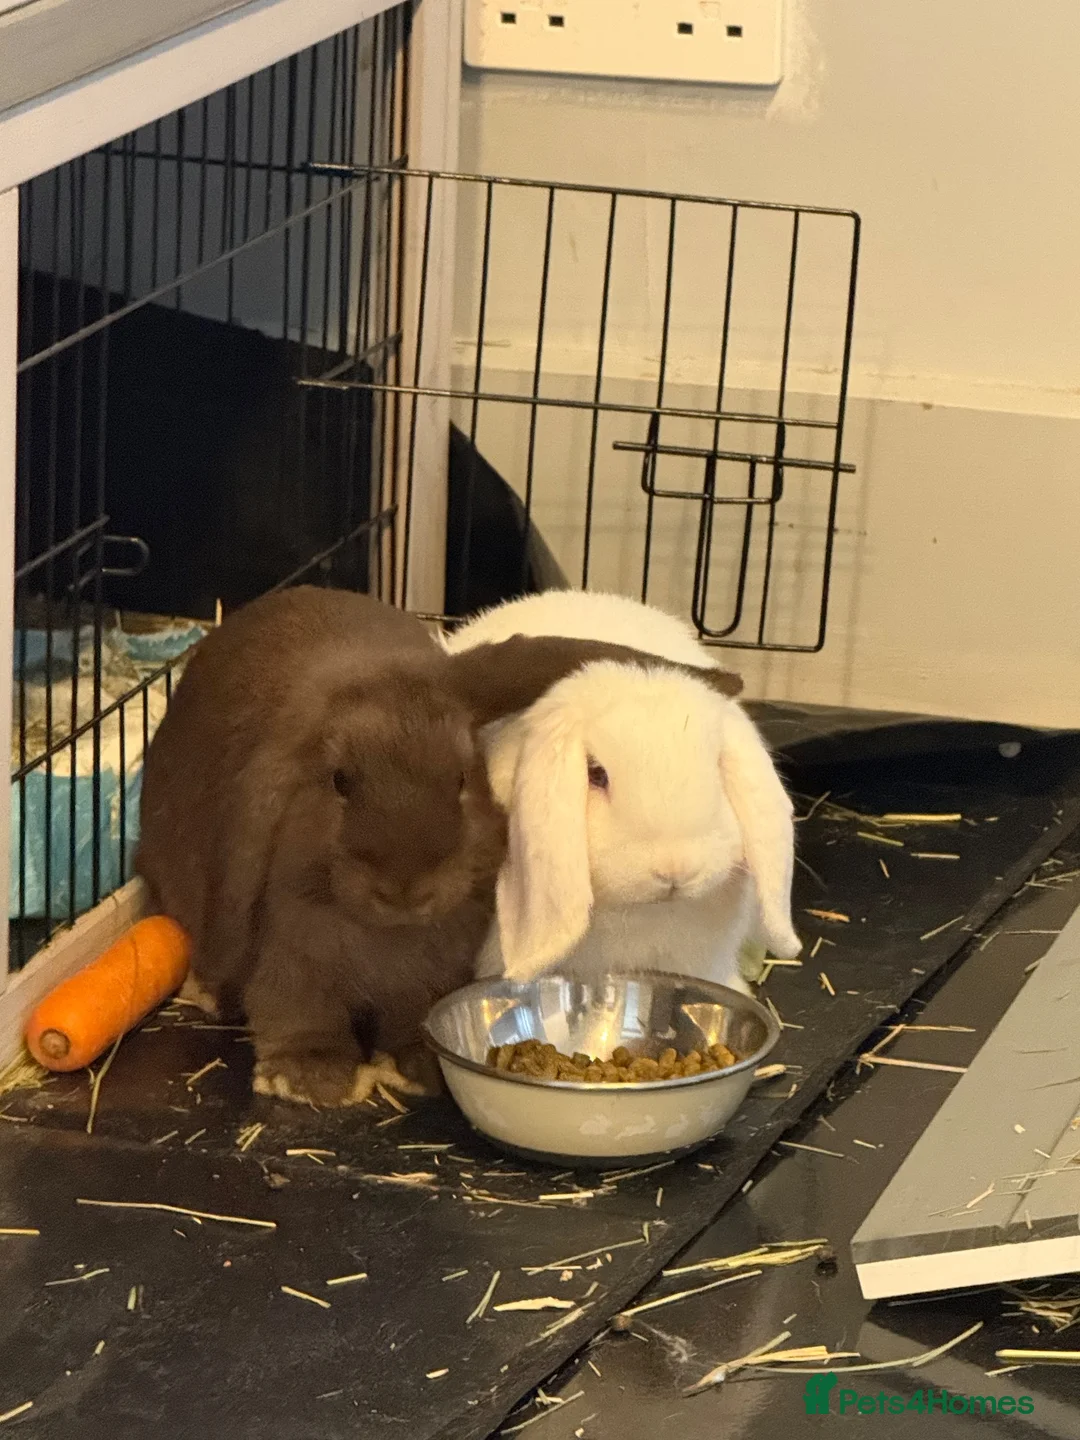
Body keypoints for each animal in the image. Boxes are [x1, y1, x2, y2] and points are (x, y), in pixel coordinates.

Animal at [136, 585, 740, 1107]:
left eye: (461, 777)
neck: (389, 935)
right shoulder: (292, 958)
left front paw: (419, 1067)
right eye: (339, 781)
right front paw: (311, 1080)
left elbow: (411, 1019)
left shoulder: (428, 976)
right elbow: (298, 1013)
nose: (405, 889)